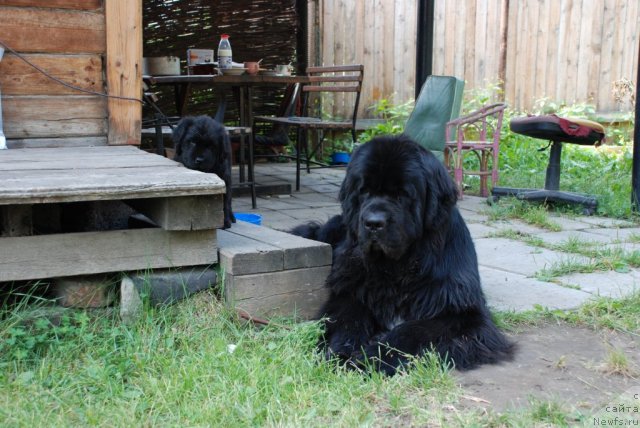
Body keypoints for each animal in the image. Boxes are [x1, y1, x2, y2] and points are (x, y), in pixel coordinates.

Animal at [294, 134, 516, 374]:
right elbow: (348, 320)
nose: (373, 223)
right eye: (364, 191)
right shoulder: (349, 292)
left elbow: (411, 331)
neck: (397, 267)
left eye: (402, 194)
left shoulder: (464, 315)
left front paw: (371, 357)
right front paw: (340, 353)